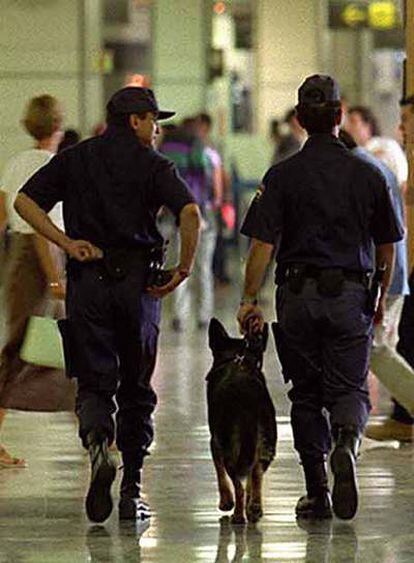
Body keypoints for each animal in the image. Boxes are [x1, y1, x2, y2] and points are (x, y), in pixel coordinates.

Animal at [207, 320, 278, 528]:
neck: (236, 360)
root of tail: (247, 398)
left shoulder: (214, 442)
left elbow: (220, 472)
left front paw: (225, 502)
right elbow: (251, 480)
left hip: (231, 447)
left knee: (238, 482)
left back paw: (238, 516)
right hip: (267, 442)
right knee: (256, 473)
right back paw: (254, 508)